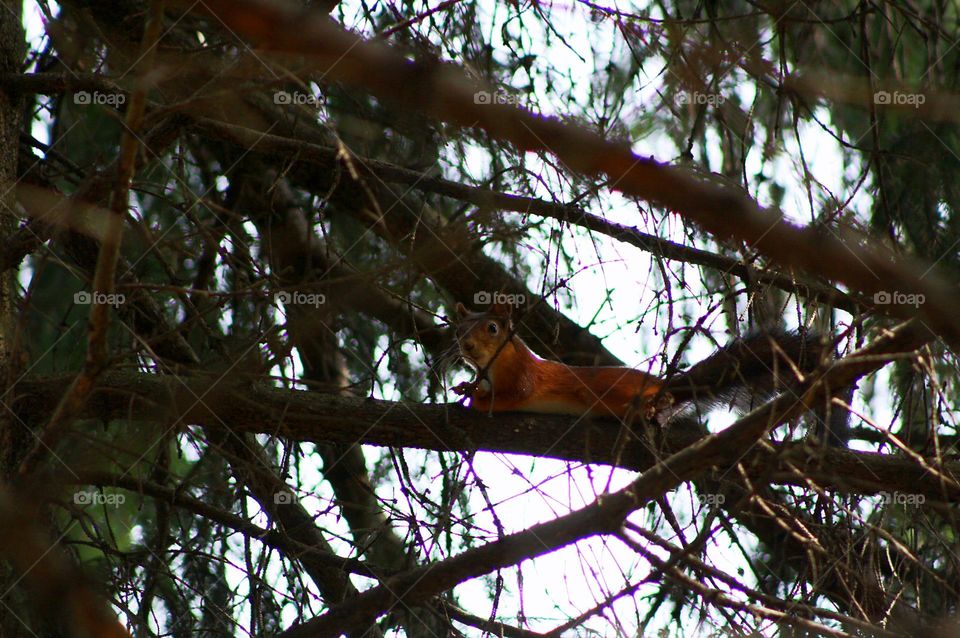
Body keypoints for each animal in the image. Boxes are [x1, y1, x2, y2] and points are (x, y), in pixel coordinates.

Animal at [451, 302, 823, 420]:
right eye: (457, 330)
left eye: (493, 328)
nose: (466, 346)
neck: (494, 367)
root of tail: (660, 385)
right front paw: (466, 386)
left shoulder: (525, 378)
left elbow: (513, 395)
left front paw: (479, 400)